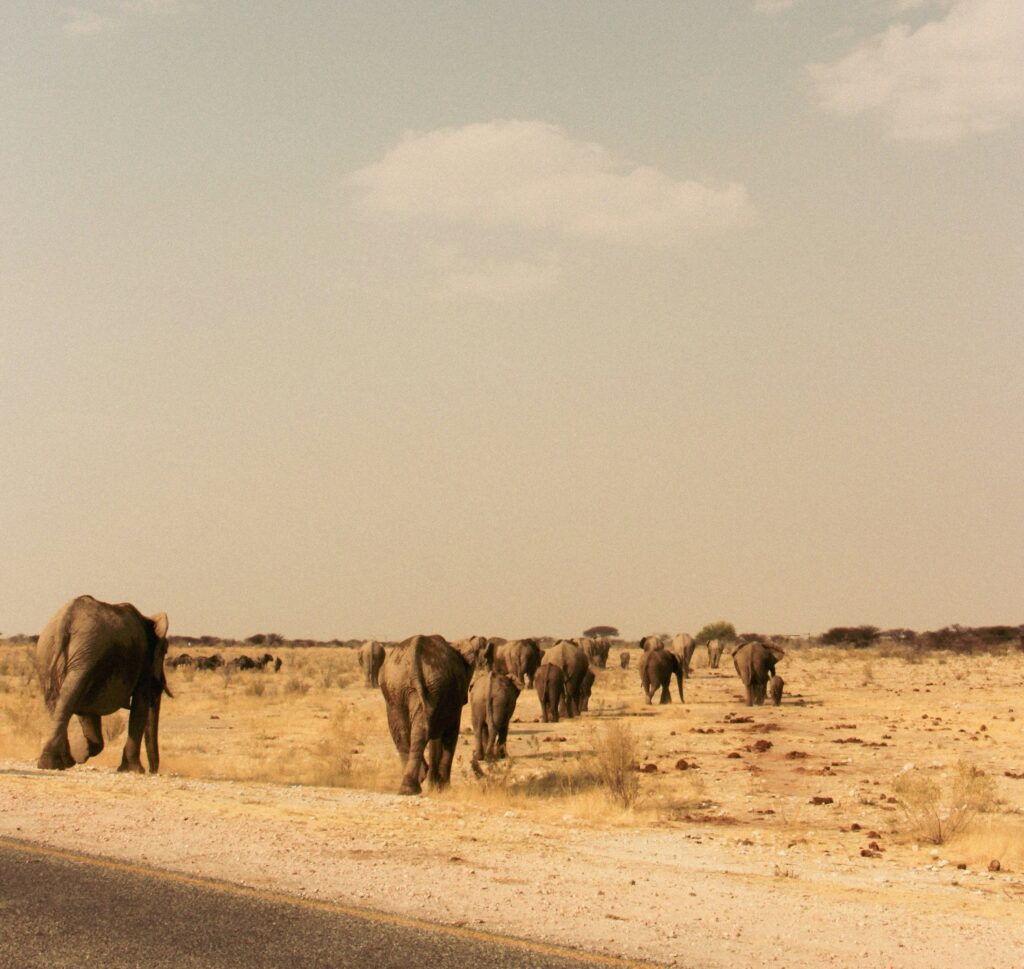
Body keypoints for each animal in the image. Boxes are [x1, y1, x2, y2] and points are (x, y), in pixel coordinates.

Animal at [33, 595, 171, 773]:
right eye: (164, 651)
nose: (152, 771)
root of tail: (66, 619)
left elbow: (88, 711)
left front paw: (81, 754)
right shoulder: (143, 664)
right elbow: (140, 706)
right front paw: (134, 770)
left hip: (55, 656)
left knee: (61, 702)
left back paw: (60, 763)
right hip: (85, 654)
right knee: (68, 698)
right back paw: (56, 764)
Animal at [379, 633, 485, 795]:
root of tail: (414, 651)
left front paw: (435, 787)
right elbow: (450, 733)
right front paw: (444, 788)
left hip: (399, 687)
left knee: (402, 731)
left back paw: (410, 787)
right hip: (425, 686)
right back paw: (415, 784)